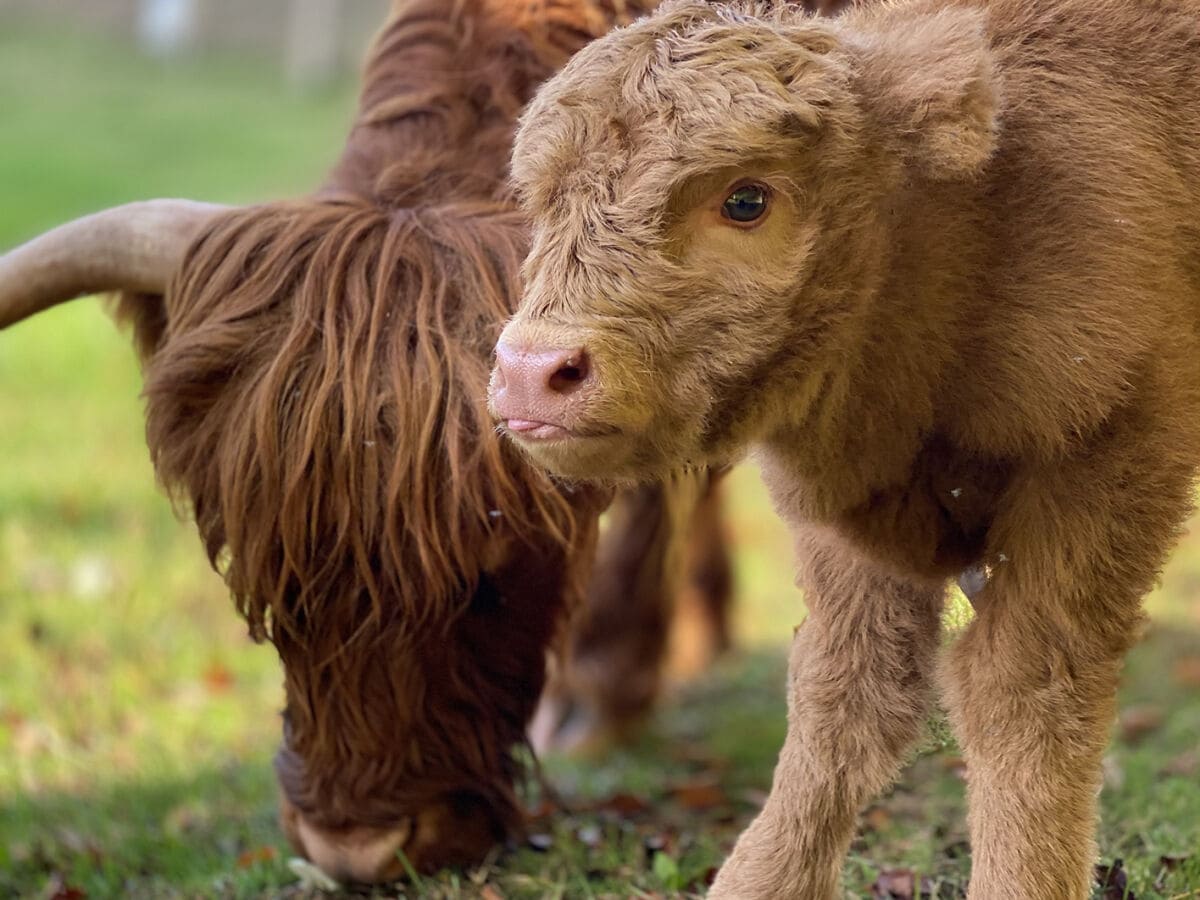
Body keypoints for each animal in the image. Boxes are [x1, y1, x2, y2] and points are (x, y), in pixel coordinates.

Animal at [487, 0, 1200, 897]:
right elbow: (842, 700)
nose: (532, 371)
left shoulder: (1108, 460)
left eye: (746, 199)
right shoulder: (845, 524)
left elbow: (1019, 693)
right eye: (544, 200)